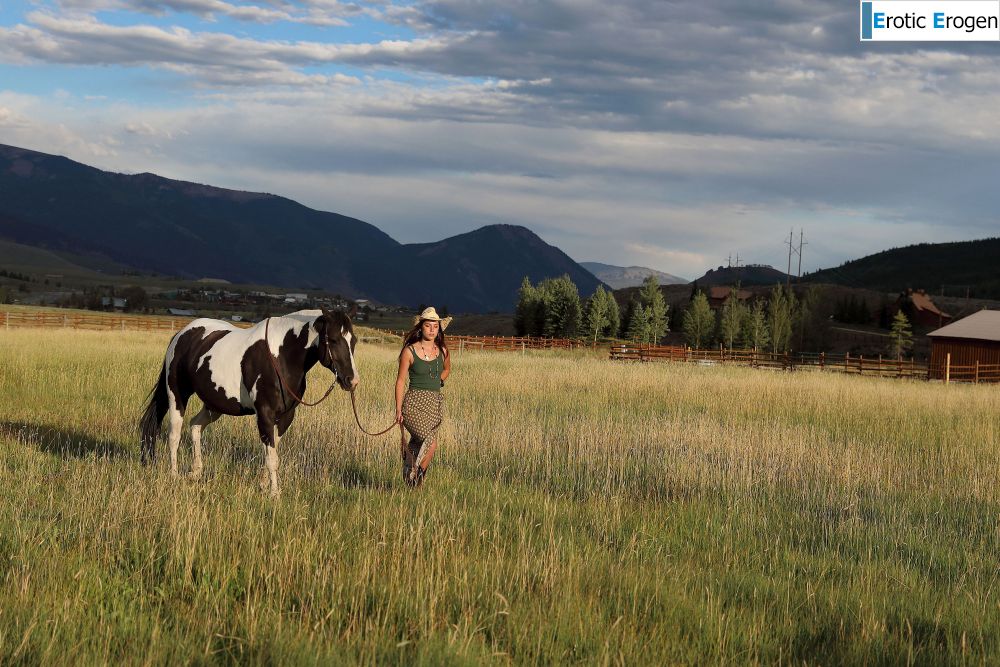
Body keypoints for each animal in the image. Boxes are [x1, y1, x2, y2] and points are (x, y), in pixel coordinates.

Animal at [140, 310, 360, 496]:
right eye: (333, 340)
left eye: (354, 341)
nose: (352, 380)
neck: (280, 356)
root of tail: (181, 334)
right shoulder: (265, 414)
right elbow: (272, 458)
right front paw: (274, 494)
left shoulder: (285, 417)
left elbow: (271, 452)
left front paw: (264, 485)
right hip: (176, 396)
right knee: (174, 436)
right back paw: (174, 475)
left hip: (214, 406)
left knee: (195, 426)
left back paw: (196, 472)